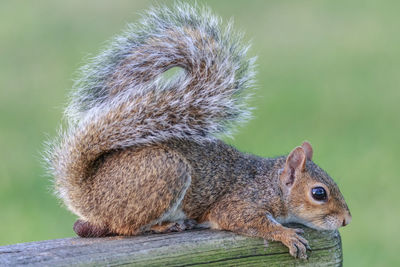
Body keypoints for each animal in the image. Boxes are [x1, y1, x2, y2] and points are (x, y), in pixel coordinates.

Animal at [46, 3, 350, 260]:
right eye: (319, 193)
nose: (346, 219)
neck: (270, 184)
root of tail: (88, 193)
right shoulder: (238, 203)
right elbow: (246, 220)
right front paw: (286, 234)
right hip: (168, 172)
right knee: (124, 226)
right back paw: (165, 226)